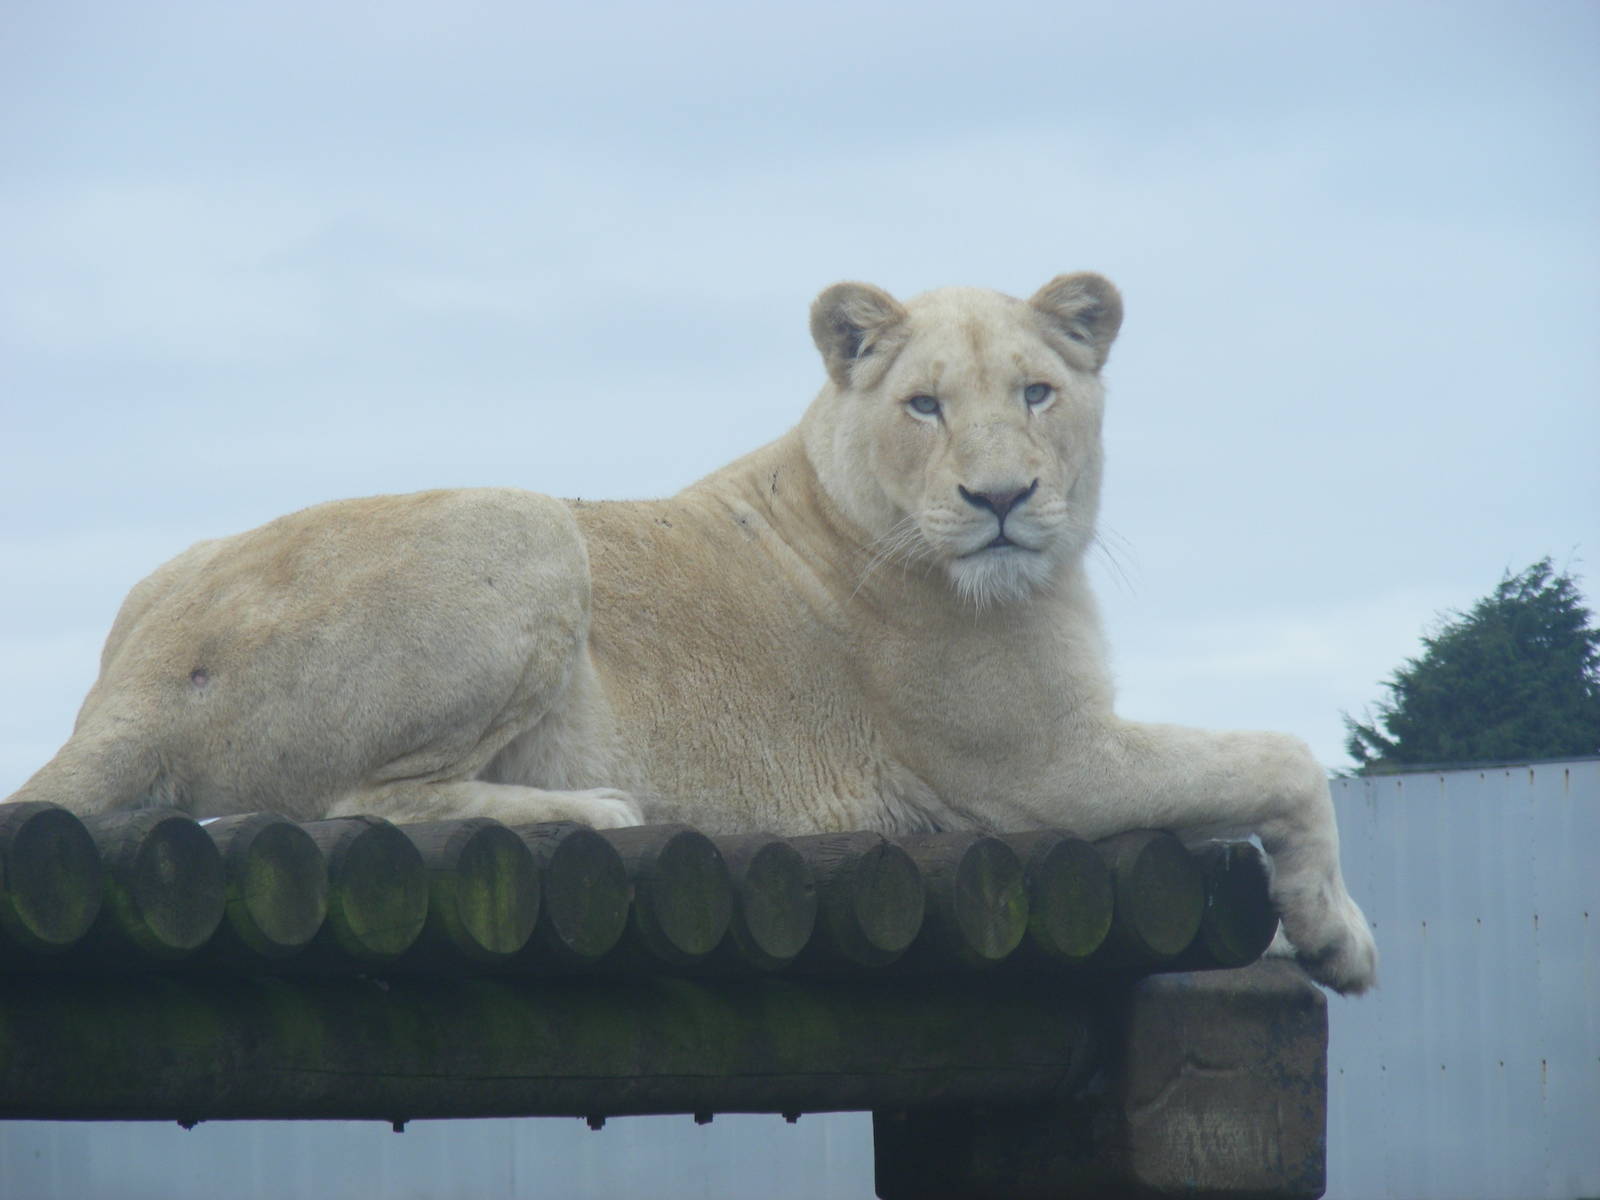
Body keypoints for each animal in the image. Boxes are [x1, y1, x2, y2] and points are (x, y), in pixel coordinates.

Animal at [4, 273, 1377, 993]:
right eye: (925, 406)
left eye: (1038, 393)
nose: (1000, 499)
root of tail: (124, 683)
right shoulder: (1040, 770)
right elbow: (1286, 760)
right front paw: (1337, 938)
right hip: (522, 526)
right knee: (353, 803)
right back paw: (597, 811)